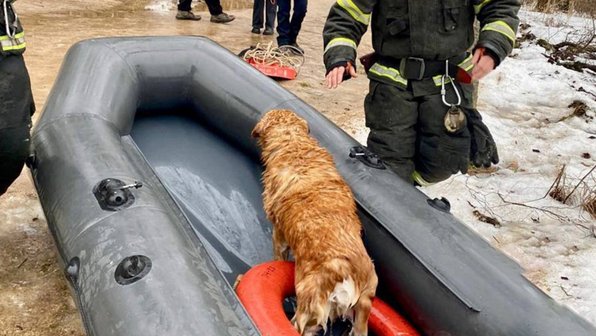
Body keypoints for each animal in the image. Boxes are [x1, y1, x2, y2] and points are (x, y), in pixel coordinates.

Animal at [251, 109, 378, 334]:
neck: (294, 143)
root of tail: (346, 274)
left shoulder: (278, 233)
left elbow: (278, 256)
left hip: (307, 309)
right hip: (363, 310)